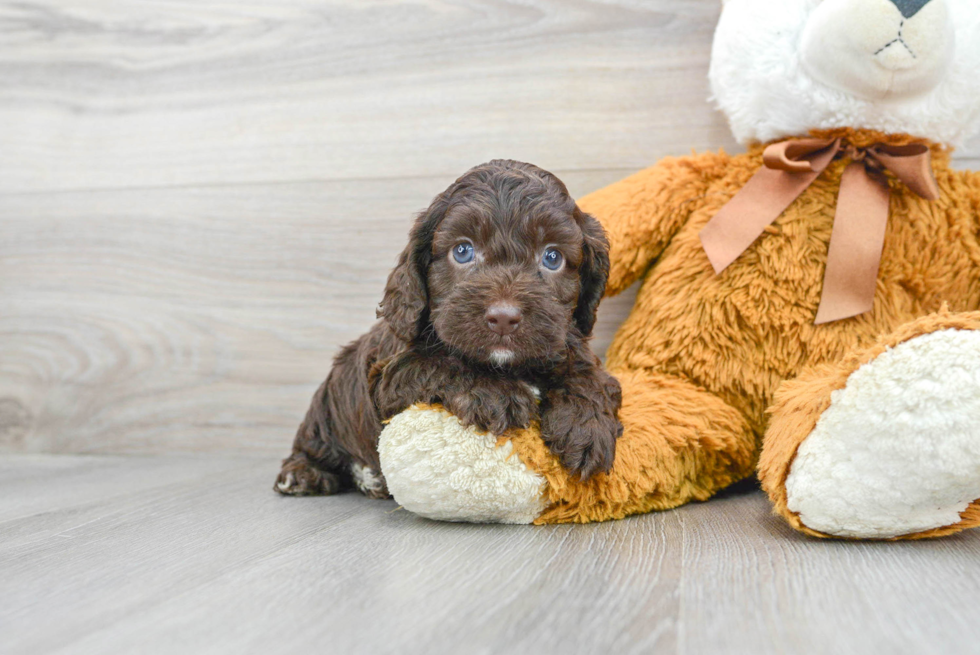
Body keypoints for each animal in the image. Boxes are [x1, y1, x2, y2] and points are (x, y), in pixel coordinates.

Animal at [272, 159, 624, 498]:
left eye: (552, 257)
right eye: (462, 251)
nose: (504, 317)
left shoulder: (565, 341)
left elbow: (590, 374)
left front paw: (587, 426)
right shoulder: (389, 376)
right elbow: (438, 363)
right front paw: (497, 393)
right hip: (327, 410)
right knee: (313, 442)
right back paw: (305, 473)